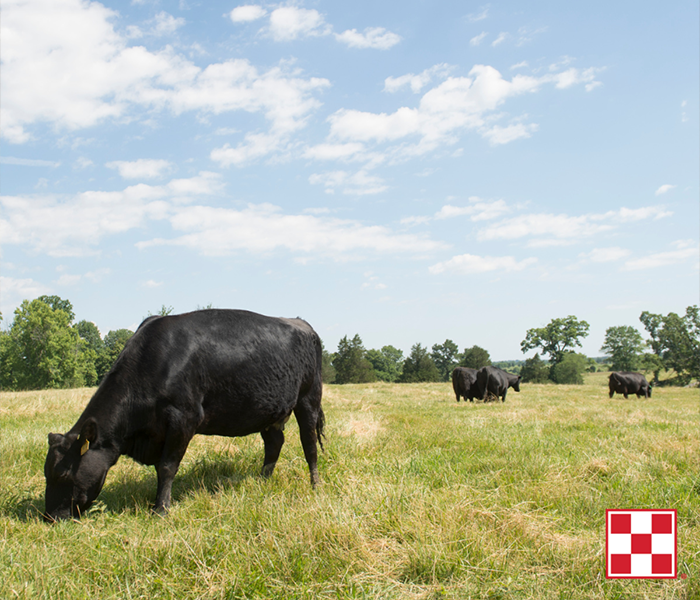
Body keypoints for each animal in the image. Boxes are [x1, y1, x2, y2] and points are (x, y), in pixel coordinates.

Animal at [44, 309, 325, 521]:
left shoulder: (184, 419)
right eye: (46, 473)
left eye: (63, 475)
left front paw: (161, 509)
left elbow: (167, 467)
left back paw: (315, 485)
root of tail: (302, 322)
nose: (50, 518)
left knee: (309, 443)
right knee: (275, 443)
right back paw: (263, 480)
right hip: (271, 410)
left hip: (309, 397)